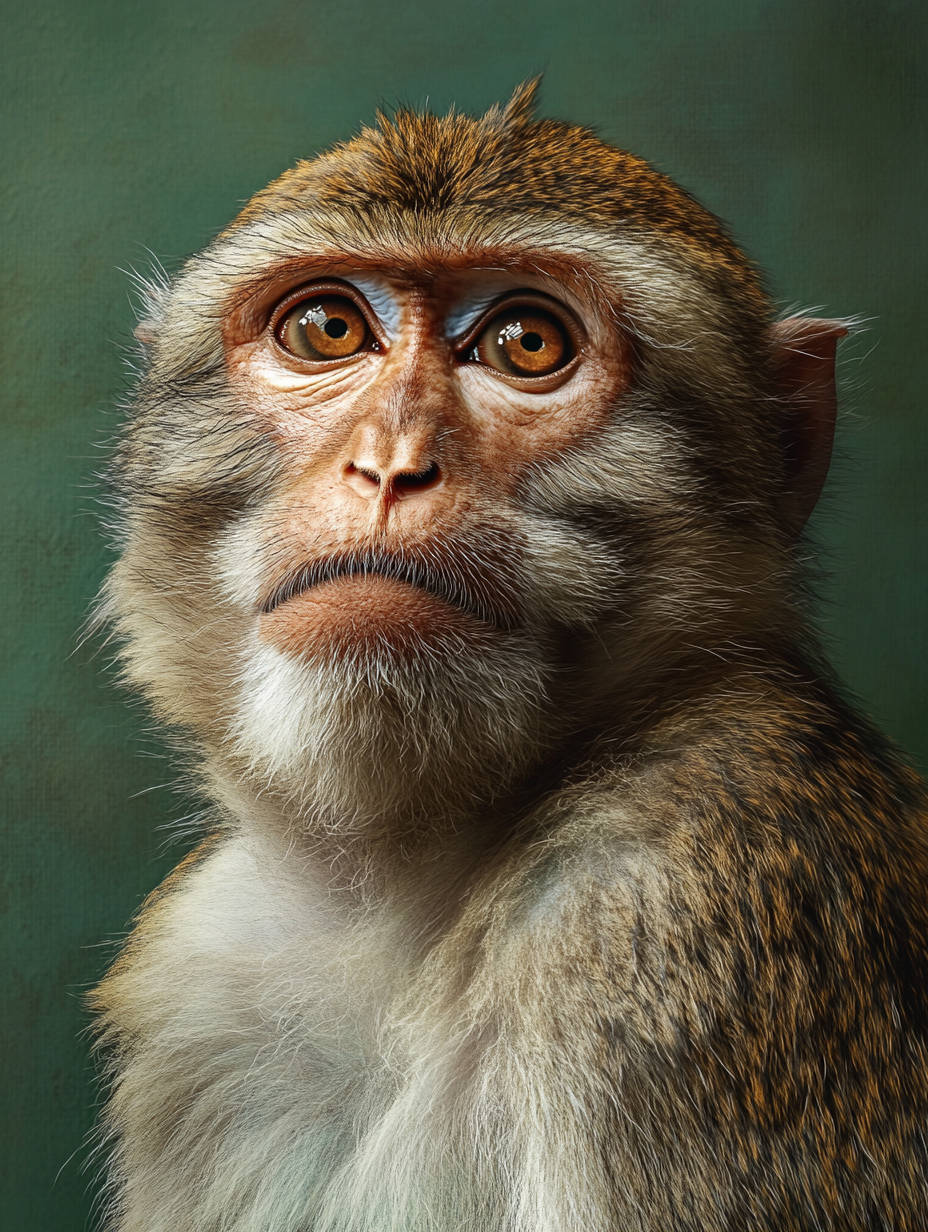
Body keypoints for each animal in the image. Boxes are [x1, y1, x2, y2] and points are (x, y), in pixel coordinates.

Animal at [89, 81, 928, 1231]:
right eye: (326, 328)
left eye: (526, 342)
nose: (390, 464)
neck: (406, 900)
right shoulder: (207, 969)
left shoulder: (679, 892)